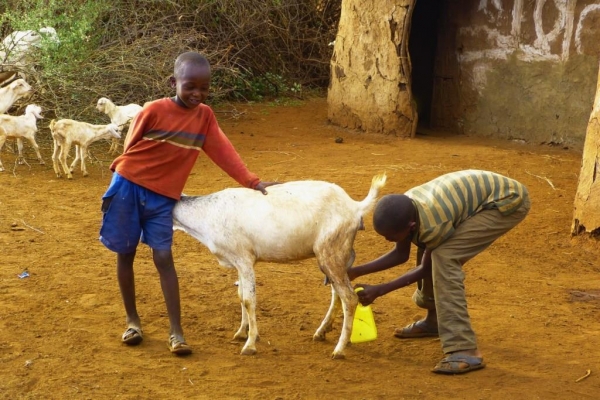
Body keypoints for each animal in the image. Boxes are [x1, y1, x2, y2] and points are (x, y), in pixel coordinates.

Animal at [172, 173, 390, 358]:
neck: (207, 216)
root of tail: (355, 206)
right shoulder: (238, 263)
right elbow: (241, 296)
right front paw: (242, 332)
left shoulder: (244, 259)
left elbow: (249, 300)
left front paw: (250, 344)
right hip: (336, 255)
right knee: (338, 292)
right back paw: (322, 332)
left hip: (330, 252)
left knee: (349, 298)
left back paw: (339, 349)